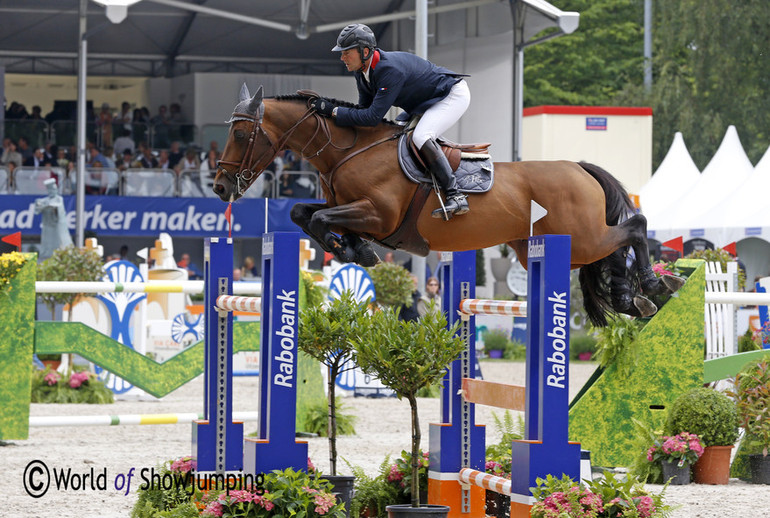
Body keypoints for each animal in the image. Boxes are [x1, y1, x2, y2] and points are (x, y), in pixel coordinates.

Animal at [213, 87, 680, 328]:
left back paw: (654, 285)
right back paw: (630, 298)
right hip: (552, 248)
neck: (347, 150)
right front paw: (353, 248)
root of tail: (579, 167)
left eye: (241, 134)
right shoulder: (350, 209)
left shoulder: (378, 214)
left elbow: (323, 218)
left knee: (635, 226)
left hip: (580, 238)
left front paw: (353, 249)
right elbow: (303, 215)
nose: (219, 186)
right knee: (615, 248)